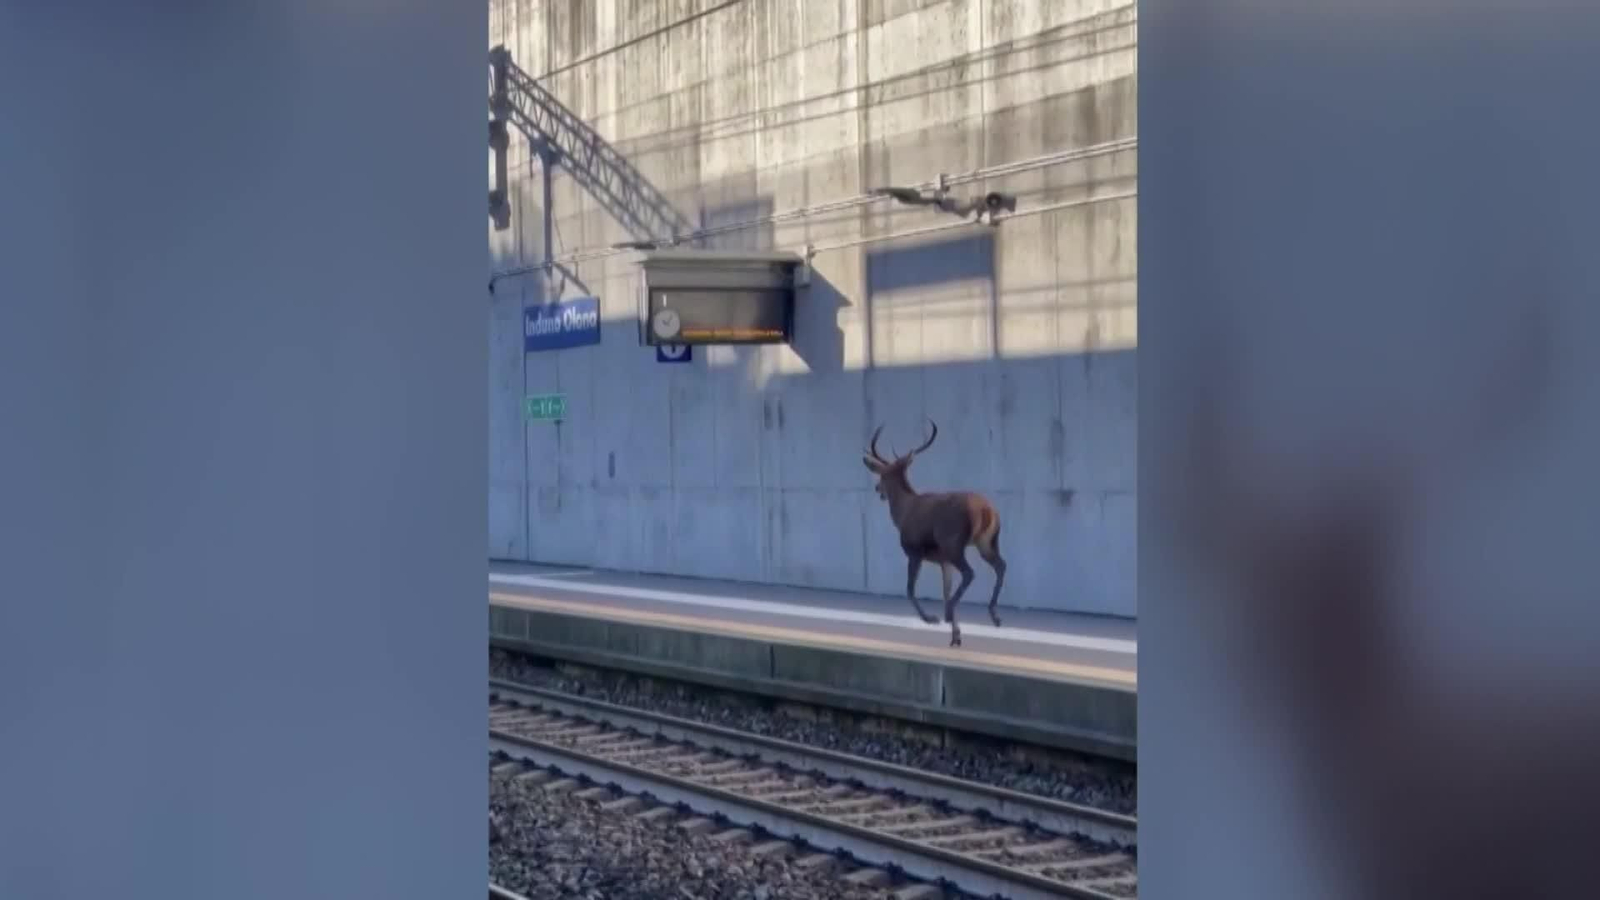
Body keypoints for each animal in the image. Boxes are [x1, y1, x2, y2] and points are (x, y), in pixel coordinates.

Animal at [862, 418, 1005, 647]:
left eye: (883, 474)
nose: (878, 489)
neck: (902, 513)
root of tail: (987, 511)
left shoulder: (914, 551)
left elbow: (910, 589)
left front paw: (931, 618)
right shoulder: (943, 560)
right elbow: (945, 590)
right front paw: (956, 635)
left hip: (953, 542)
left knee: (970, 572)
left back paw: (949, 612)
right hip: (987, 541)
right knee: (1001, 565)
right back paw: (994, 616)